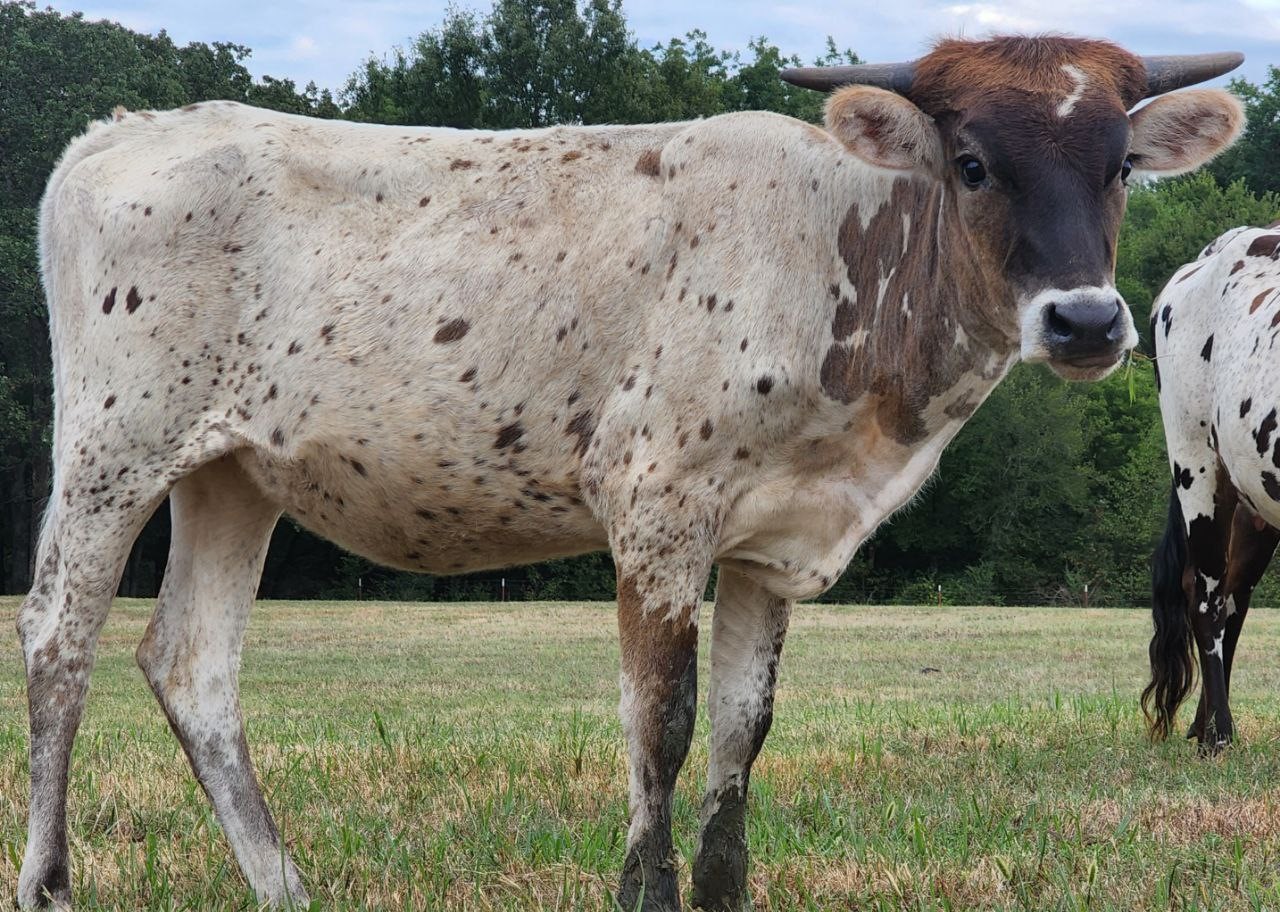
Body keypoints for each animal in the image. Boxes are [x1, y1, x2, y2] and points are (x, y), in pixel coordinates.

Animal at [17, 35, 1244, 912]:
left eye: (1119, 167)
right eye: (974, 164)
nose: (1085, 322)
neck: (843, 256)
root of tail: (121, 134)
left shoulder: (770, 541)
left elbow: (743, 729)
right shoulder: (659, 509)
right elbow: (662, 721)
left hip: (232, 474)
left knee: (191, 664)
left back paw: (283, 888)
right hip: (112, 448)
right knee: (57, 639)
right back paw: (50, 886)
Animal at [1145, 223, 1280, 754]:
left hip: (1253, 502)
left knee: (1232, 600)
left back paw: (1203, 727)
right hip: (1196, 466)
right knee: (1204, 597)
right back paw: (1217, 735)